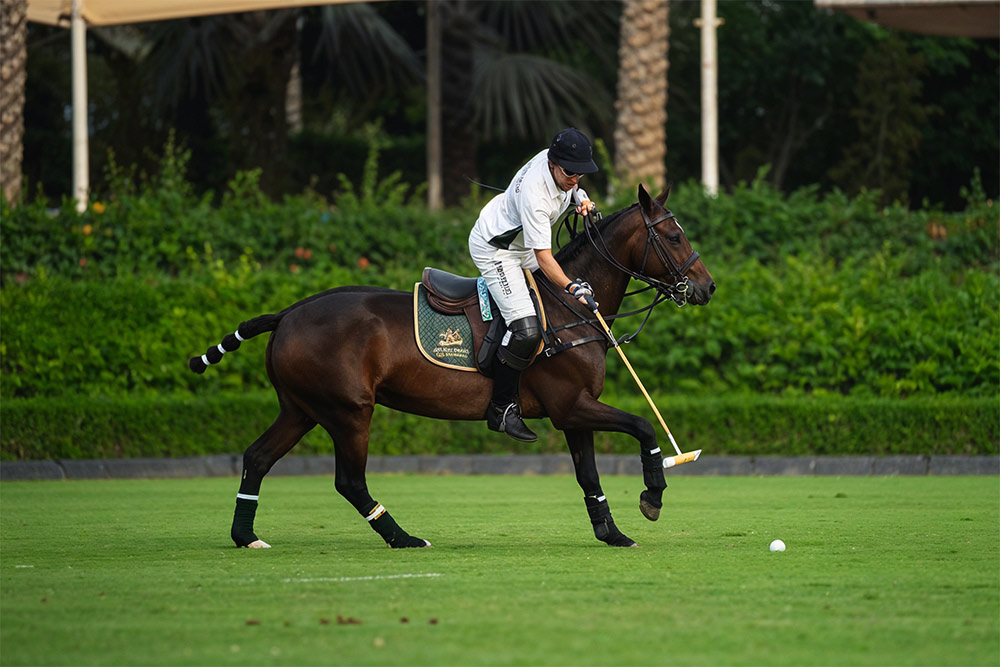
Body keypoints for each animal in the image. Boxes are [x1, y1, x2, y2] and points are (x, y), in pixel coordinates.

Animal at [189, 185, 720, 552]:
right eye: (674, 236)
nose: (707, 287)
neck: (570, 309)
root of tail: (288, 313)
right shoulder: (572, 405)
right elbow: (643, 425)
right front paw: (653, 496)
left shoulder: (574, 414)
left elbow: (589, 477)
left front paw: (611, 532)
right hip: (348, 411)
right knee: (349, 480)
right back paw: (403, 537)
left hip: (302, 408)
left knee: (257, 457)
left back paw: (246, 536)